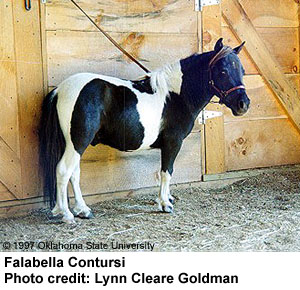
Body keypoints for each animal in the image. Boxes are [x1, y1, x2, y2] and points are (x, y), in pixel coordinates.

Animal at [40, 38, 251, 223]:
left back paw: (82, 209)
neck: (176, 95)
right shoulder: (173, 142)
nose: (243, 104)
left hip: (73, 143)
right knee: (64, 170)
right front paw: (165, 204)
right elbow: (167, 171)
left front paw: (167, 198)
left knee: (74, 173)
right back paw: (67, 214)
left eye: (242, 70)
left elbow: (166, 171)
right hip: (78, 141)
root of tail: (60, 89)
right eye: (222, 71)